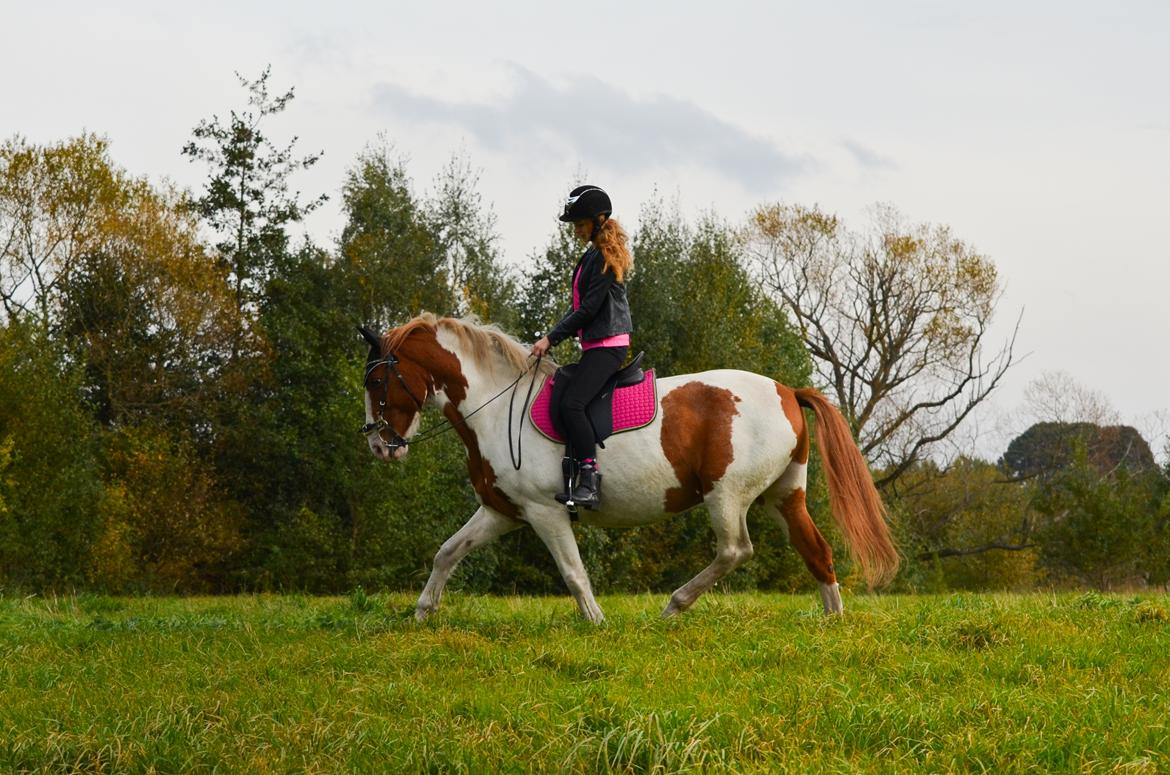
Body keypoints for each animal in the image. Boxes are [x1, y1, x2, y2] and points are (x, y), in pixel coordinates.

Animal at [360, 313, 898, 622]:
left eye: (377, 382)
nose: (380, 447)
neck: (497, 407)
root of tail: (787, 390)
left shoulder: (544, 512)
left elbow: (573, 572)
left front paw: (596, 624)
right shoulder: (502, 511)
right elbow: (447, 553)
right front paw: (422, 613)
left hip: (727, 495)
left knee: (735, 551)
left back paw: (674, 606)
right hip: (783, 495)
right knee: (816, 551)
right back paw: (832, 622)